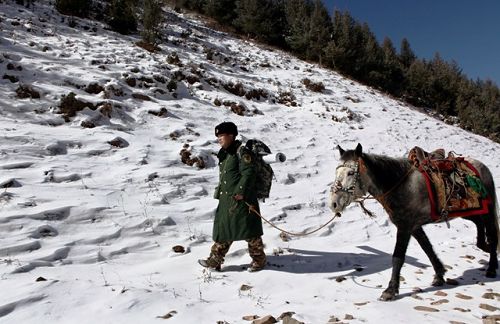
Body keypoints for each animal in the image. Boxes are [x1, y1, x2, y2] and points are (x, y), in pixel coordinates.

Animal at [330, 144, 498, 302]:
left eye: (351, 173)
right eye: (337, 172)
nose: (334, 204)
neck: (402, 186)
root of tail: (482, 167)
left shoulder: (405, 227)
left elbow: (398, 257)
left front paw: (390, 291)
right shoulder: (414, 227)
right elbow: (427, 248)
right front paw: (439, 275)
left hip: (488, 211)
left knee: (492, 234)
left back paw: (491, 267)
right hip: (468, 212)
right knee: (478, 223)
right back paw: (483, 246)